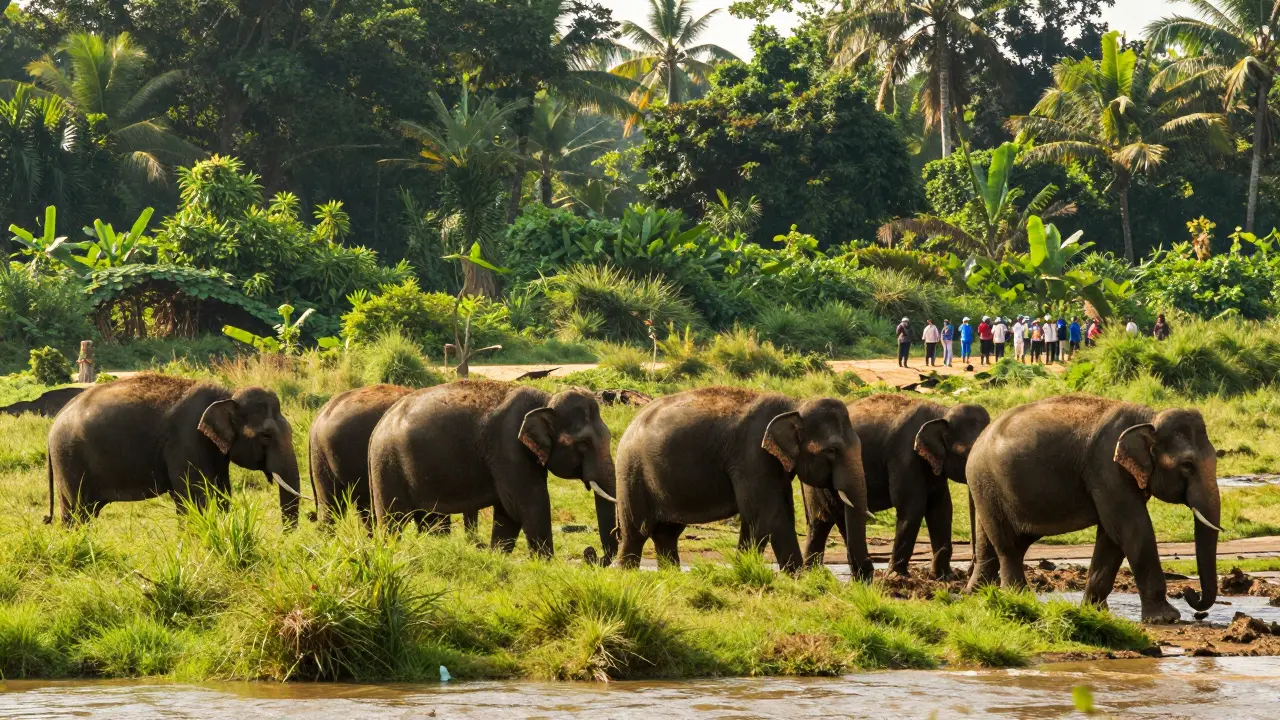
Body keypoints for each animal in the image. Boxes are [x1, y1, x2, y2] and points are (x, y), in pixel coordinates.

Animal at [45, 373, 303, 526]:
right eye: (266, 436)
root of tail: (55, 422)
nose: (284, 537)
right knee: (79, 512)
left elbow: (221, 494)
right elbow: (195, 498)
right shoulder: (187, 439)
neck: (227, 395)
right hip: (69, 459)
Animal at [368, 380, 617, 561]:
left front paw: (497, 558)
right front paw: (546, 564)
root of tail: (378, 426)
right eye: (583, 444)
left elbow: (507, 512)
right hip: (388, 464)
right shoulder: (508, 448)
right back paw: (389, 552)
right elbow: (527, 503)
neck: (545, 400)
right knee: (393, 520)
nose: (592, 553)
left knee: (429, 520)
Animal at [615, 387, 870, 576]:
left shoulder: (772, 462)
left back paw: (671, 577)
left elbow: (777, 513)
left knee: (666, 534)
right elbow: (766, 515)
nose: (861, 573)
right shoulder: (752, 456)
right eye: (831, 451)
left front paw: (794, 579)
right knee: (636, 532)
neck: (795, 405)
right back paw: (627, 576)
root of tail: (631, 423)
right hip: (632, 473)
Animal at [801, 395, 989, 579]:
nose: (970, 570)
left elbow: (940, 508)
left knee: (821, 523)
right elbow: (912, 508)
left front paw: (944, 577)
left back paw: (814, 574)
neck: (942, 412)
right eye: (963, 452)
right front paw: (896, 577)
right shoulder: (905, 456)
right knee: (829, 516)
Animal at [964, 395, 1219, 623]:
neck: (1149, 418)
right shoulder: (1107, 469)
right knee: (1008, 547)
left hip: (986, 489)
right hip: (988, 484)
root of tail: (978, 440)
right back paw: (1019, 600)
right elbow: (1132, 528)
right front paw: (1166, 618)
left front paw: (1094, 612)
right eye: (1187, 465)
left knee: (990, 543)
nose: (1189, 592)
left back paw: (975, 596)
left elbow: (1112, 536)